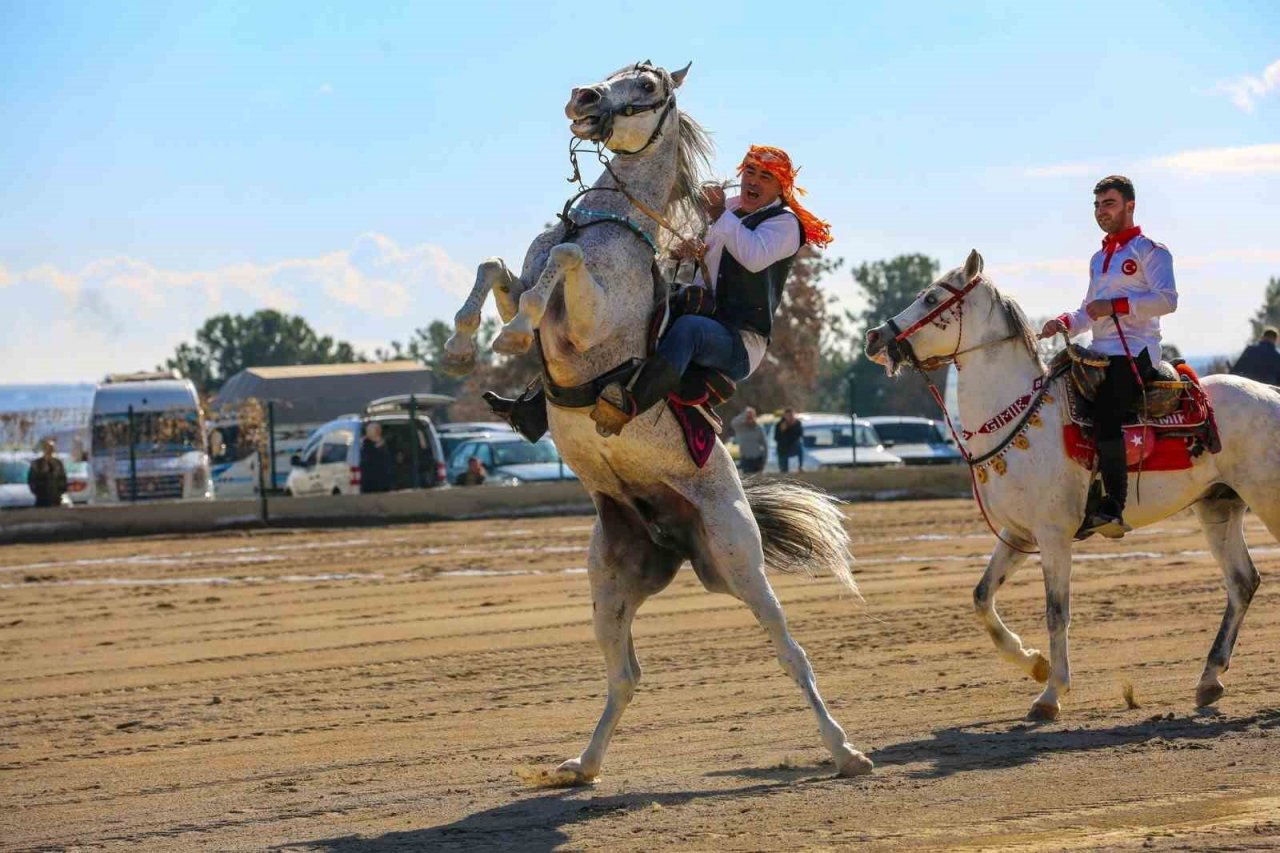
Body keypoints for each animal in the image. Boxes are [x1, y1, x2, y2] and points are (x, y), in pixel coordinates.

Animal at [865, 251, 1274, 717]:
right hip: (1218, 506)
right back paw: (1208, 679)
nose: (874, 338)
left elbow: (1056, 612)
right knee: (1242, 582)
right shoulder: (1017, 533)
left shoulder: (1054, 535)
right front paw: (1034, 664)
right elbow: (982, 597)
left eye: (931, 297)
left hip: (1267, 497)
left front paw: (1050, 693)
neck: (1020, 414)